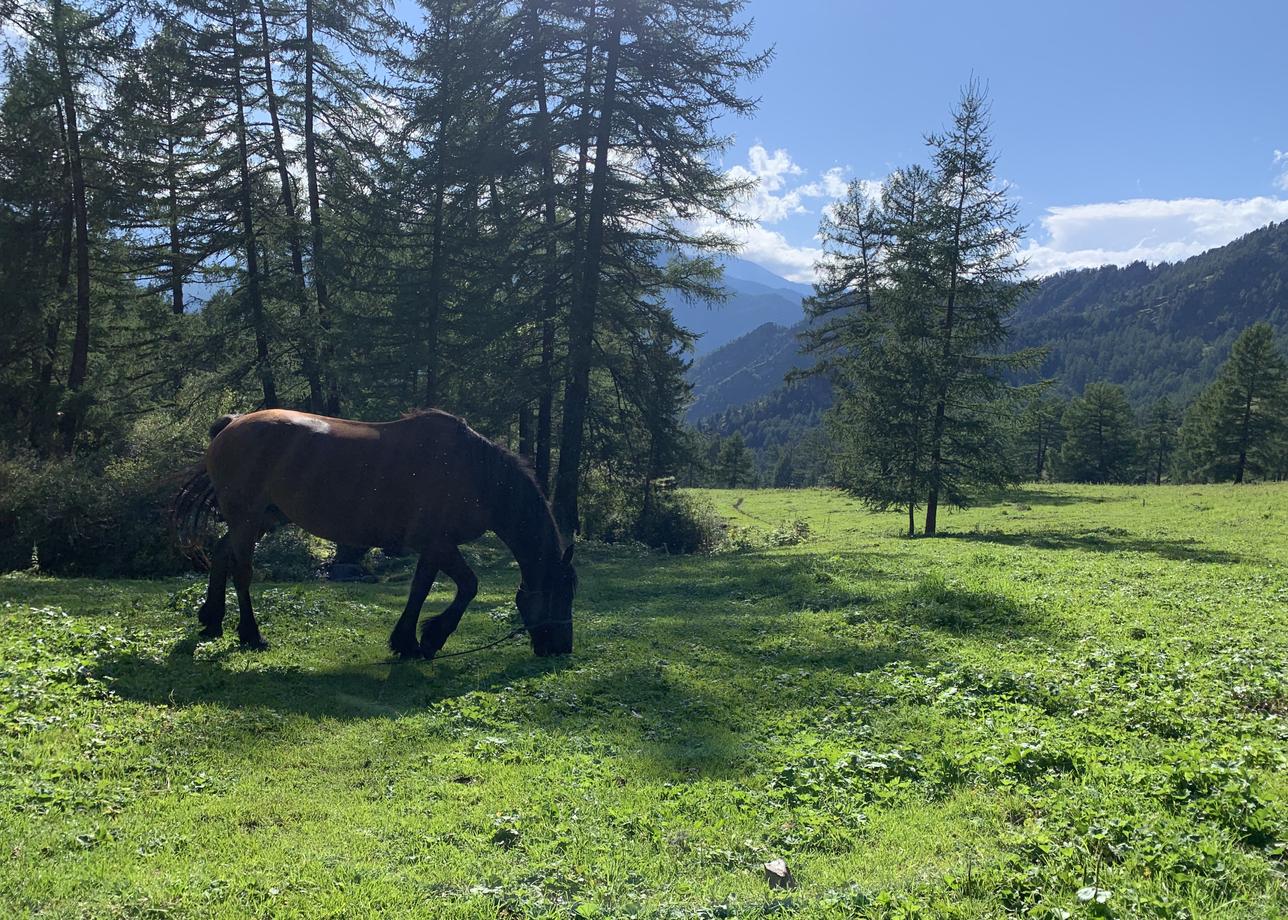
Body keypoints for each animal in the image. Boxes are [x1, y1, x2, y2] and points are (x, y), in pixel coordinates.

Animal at [173, 409, 577, 659]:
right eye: (561, 594)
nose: (562, 647)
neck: (475, 472)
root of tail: (233, 422)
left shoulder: (433, 546)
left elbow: (420, 589)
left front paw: (408, 642)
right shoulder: (440, 544)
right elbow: (468, 586)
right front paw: (433, 637)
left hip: (258, 520)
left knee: (222, 554)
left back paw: (212, 620)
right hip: (248, 518)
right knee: (241, 570)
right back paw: (251, 634)